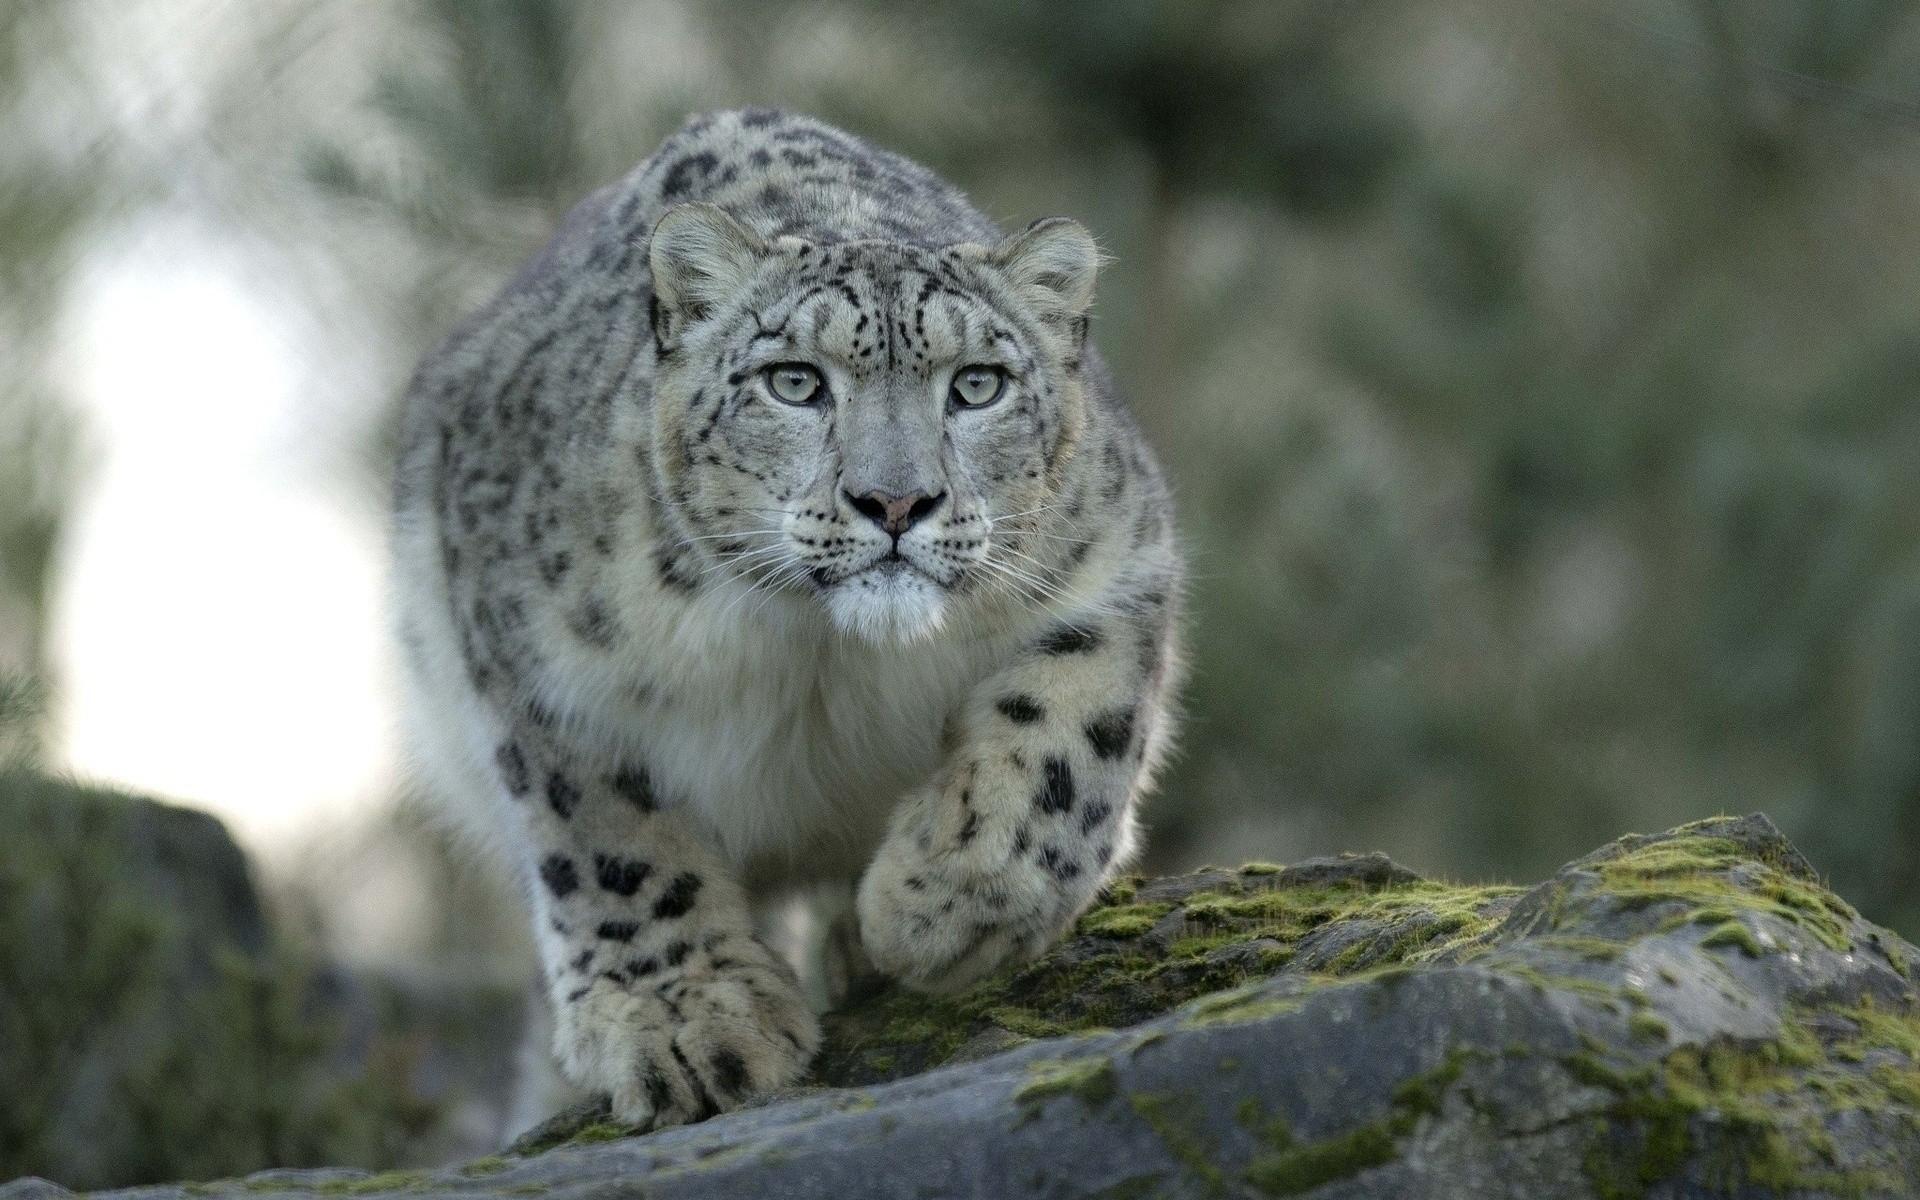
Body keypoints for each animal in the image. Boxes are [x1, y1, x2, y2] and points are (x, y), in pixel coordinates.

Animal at [393, 107, 1182, 1128]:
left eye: (977, 384)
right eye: (795, 382)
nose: (896, 501)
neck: (822, 655)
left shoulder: (1118, 563)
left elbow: (1066, 739)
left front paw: (938, 906)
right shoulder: (535, 658)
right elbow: (608, 837)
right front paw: (689, 1023)